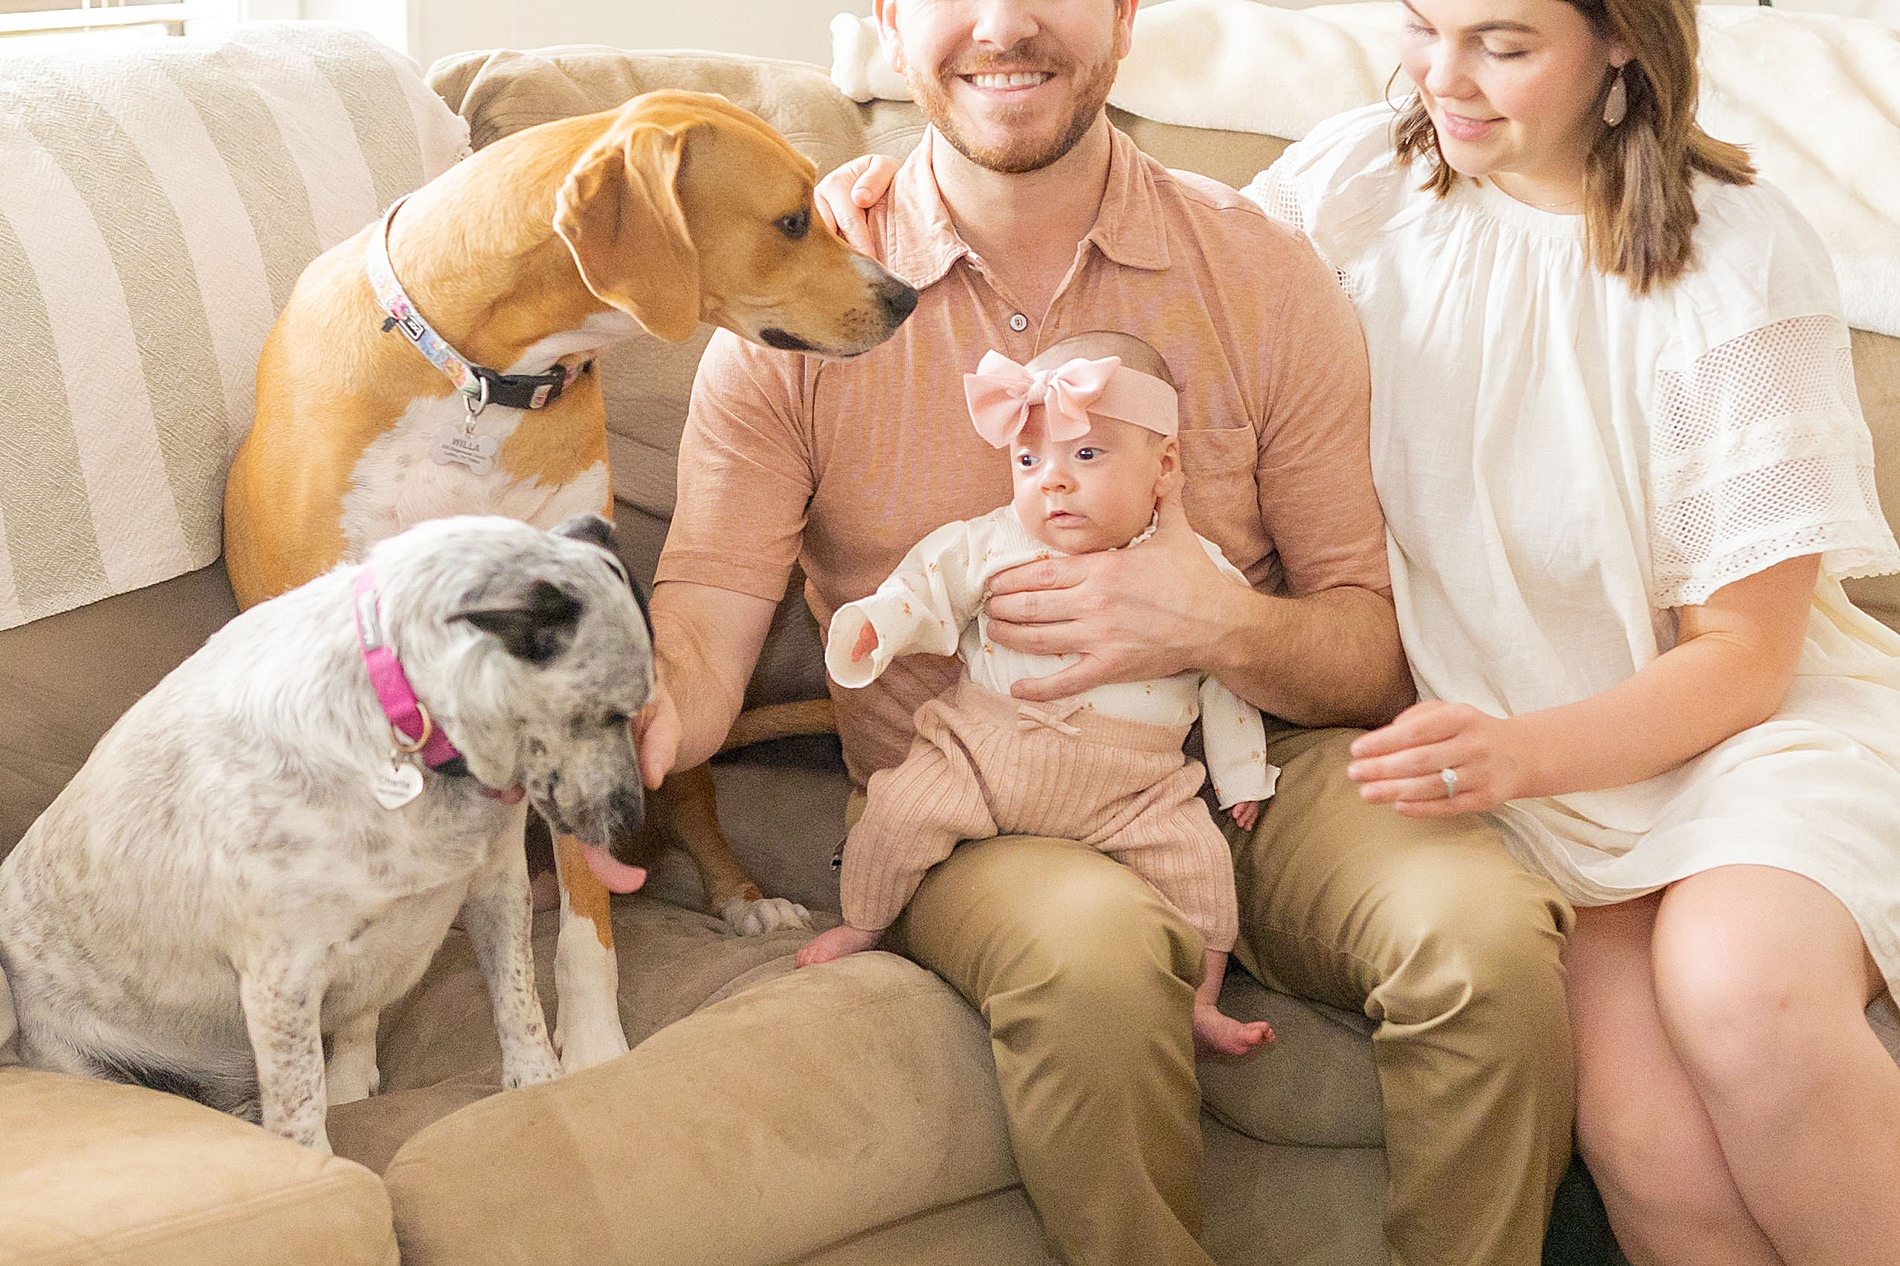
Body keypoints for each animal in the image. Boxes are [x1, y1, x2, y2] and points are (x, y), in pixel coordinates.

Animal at [0, 509, 649, 1148]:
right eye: (612, 713)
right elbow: (304, 1115)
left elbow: (519, 1009)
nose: (634, 820)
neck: (405, 728)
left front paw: (538, 1087)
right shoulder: (282, 981)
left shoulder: (497, 888)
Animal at [224, 91, 919, 1064]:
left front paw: (590, 1050)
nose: (907, 295)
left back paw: (745, 901)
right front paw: (355, 1066)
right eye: (790, 221)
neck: (481, 377)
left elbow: (589, 934)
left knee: (692, 818)